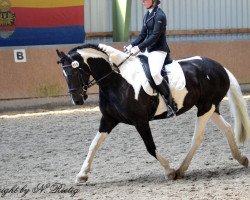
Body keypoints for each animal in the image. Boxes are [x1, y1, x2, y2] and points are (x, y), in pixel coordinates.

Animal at [55, 43, 249, 184]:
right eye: (63, 73)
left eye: (76, 70)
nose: (77, 100)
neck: (116, 81)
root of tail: (219, 67)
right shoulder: (109, 119)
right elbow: (93, 145)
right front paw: (82, 175)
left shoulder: (140, 120)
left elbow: (150, 147)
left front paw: (169, 171)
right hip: (210, 108)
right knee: (227, 128)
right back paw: (242, 159)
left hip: (206, 107)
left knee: (197, 138)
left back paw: (180, 170)